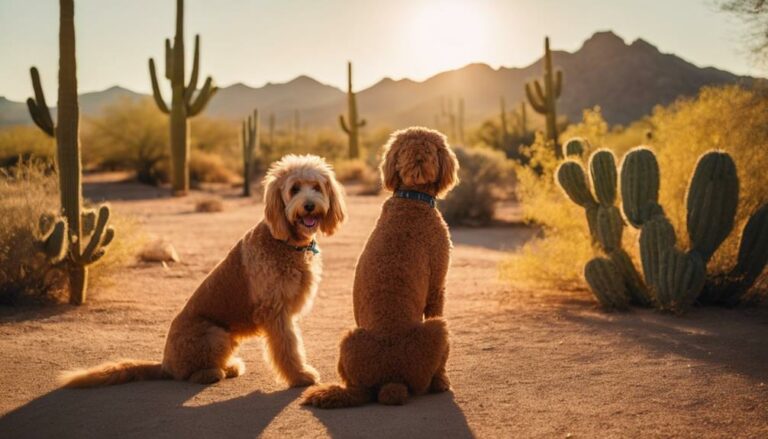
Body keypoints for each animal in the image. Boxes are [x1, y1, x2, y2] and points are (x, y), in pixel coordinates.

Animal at [60, 155, 348, 388]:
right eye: (294, 189)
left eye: (317, 187)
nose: (309, 205)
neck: (286, 242)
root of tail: (165, 364)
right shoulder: (275, 310)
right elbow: (288, 347)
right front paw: (300, 376)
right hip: (216, 334)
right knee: (189, 375)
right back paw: (211, 373)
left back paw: (228, 366)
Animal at [300, 127, 460, 410]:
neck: (412, 199)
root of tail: (391, 381)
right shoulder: (438, 286)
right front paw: (443, 381)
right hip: (439, 327)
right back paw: (438, 382)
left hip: (348, 338)